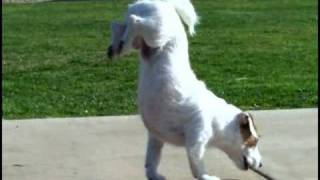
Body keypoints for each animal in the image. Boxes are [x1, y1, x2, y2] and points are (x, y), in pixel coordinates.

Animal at [107, 0, 262, 179]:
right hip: (156, 33)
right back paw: (122, 43)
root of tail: (163, 3)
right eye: (254, 142)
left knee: (117, 25)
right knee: (134, 21)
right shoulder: (196, 141)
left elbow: (151, 160)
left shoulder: (156, 138)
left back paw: (115, 47)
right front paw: (206, 177)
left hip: (142, 40)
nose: (261, 164)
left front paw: (154, 175)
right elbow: (197, 167)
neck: (218, 119)